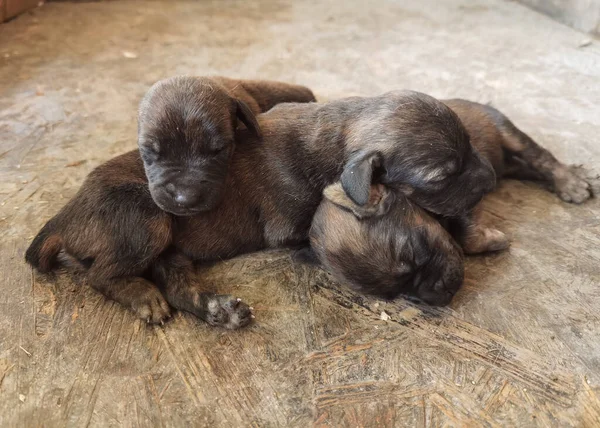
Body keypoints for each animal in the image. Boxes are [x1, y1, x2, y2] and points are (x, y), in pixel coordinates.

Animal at [304, 98, 592, 304]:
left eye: (416, 253)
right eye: (397, 294)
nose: (439, 297)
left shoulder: (462, 201)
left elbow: (468, 237)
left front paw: (495, 240)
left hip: (506, 130)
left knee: (540, 156)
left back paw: (570, 181)